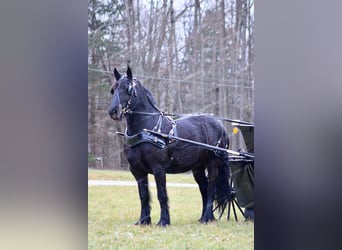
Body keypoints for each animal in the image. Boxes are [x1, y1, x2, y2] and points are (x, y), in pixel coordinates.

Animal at [108, 66, 231, 227]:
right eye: (112, 90)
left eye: (127, 88)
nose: (113, 111)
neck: (146, 130)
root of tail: (219, 124)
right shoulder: (137, 170)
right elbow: (143, 195)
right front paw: (143, 221)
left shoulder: (159, 168)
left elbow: (162, 194)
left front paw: (163, 221)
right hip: (197, 167)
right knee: (204, 189)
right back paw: (203, 217)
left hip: (213, 163)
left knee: (210, 188)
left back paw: (207, 218)